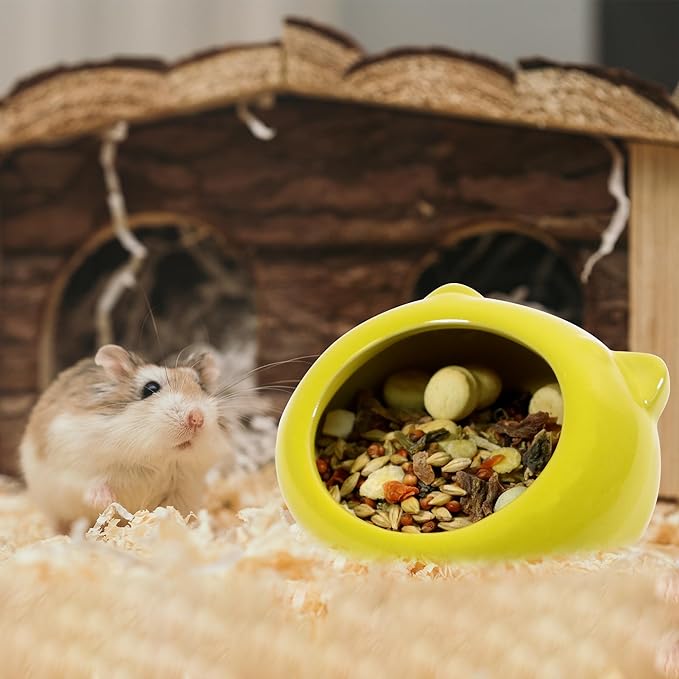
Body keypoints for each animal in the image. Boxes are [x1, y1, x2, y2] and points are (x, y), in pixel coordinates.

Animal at [20, 344, 233, 533]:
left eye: (201, 386)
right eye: (150, 388)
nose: (197, 418)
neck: (154, 458)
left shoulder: (183, 489)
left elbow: (174, 512)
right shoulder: (73, 465)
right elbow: (90, 484)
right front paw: (107, 501)